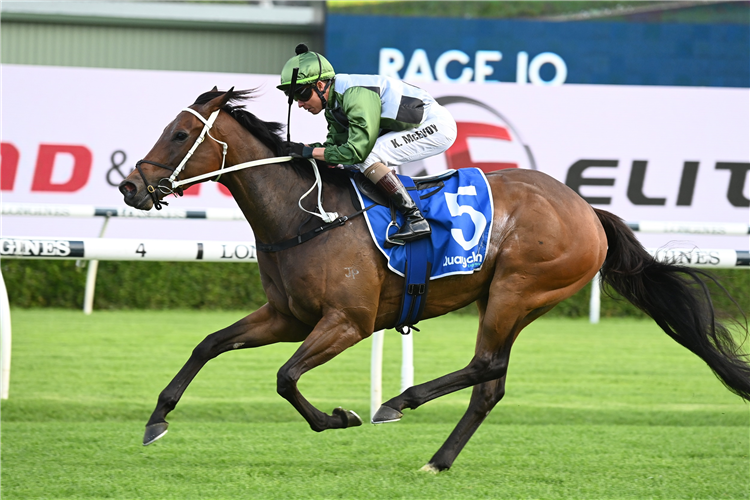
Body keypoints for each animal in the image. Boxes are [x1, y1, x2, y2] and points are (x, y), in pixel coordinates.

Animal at [120, 88, 748, 470]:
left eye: (180, 135)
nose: (130, 187)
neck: (304, 218)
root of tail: (588, 211)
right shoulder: (286, 316)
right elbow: (209, 345)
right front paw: (156, 420)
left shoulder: (347, 322)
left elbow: (285, 376)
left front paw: (339, 418)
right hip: (512, 299)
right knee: (491, 382)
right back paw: (437, 459)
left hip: (518, 288)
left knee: (485, 365)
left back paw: (399, 402)